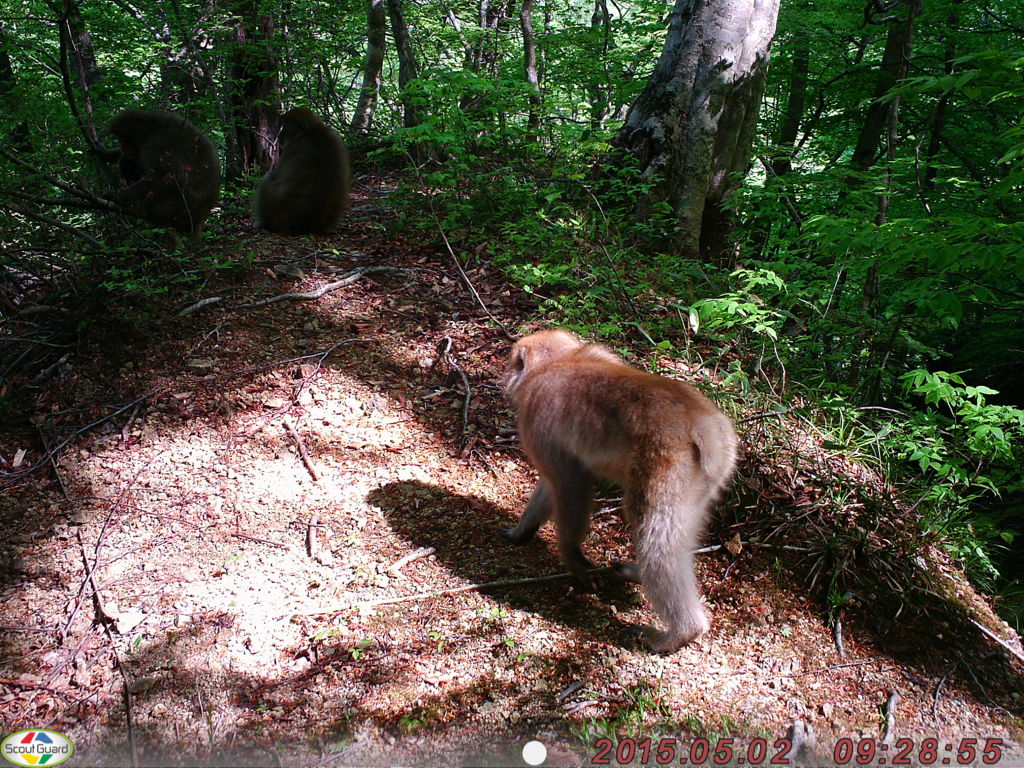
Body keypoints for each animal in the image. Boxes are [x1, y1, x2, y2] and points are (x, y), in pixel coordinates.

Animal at [252, 107, 350, 236]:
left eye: (286, 125)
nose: (279, 135)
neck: (312, 131)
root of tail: (306, 227)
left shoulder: (291, 148)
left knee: (268, 179)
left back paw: (263, 223)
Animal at [497, 327, 733, 651]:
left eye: (512, 363)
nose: (504, 375)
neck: (562, 361)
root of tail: (702, 423)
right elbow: (554, 484)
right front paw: (522, 530)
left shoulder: (538, 418)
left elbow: (569, 483)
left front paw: (572, 558)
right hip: (703, 480)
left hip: (668, 467)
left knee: (655, 535)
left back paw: (681, 632)